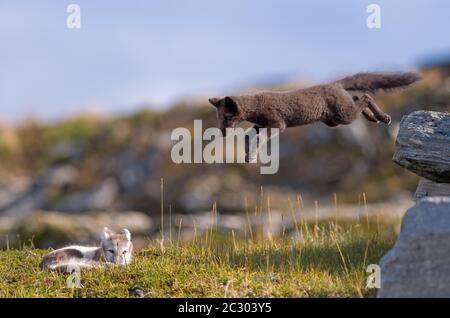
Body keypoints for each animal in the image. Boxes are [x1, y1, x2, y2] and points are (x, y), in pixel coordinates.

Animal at [209, 72, 420, 161]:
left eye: (227, 116)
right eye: (218, 117)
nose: (221, 132)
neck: (256, 106)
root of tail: (334, 84)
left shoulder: (277, 123)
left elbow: (259, 138)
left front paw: (252, 155)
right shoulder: (259, 124)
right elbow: (248, 137)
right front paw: (248, 155)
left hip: (343, 116)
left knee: (366, 96)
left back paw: (383, 117)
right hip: (335, 120)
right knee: (357, 97)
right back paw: (373, 118)